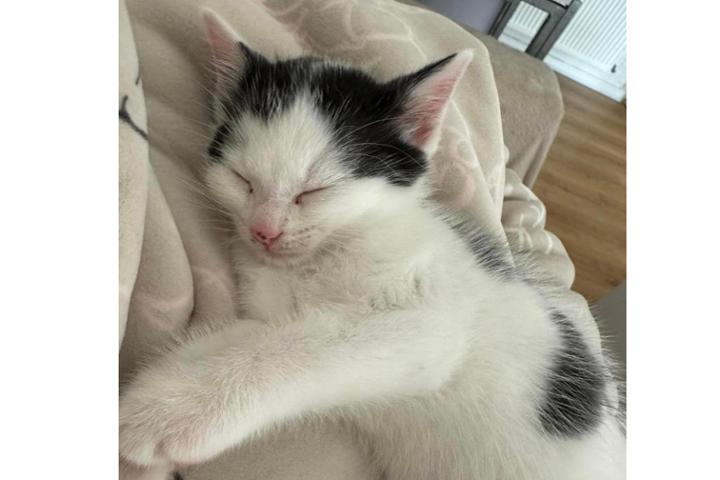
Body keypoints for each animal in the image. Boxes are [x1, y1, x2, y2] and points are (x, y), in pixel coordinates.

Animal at [119, 10, 625, 480]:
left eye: (315, 190)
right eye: (242, 179)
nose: (265, 230)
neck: (329, 251)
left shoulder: (431, 321)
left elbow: (309, 346)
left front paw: (165, 411)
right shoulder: (272, 300)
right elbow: (262, 331)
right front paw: (171, 375)